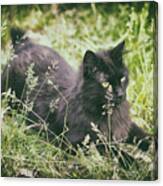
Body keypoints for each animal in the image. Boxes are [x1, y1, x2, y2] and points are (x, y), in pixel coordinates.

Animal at [1, 27, 150, 152]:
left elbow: (140, 133)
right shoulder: (80, 141)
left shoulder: (124, 124)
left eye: (122, 79)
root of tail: (25, 45)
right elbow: (113, 150)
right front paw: (132, 162)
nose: (120, 94)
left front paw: (150, 143)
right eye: (106, 84)